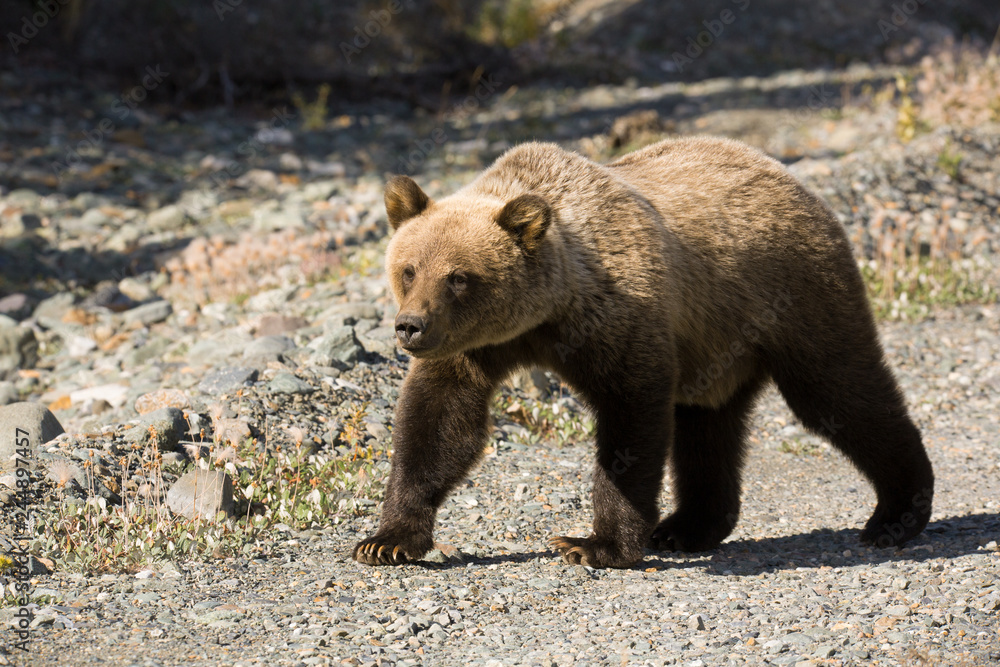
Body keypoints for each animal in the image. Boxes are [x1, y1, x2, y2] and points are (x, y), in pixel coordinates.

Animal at [352, 136, 934, 568]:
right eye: (409, 268)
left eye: (458, 277)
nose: (410, 327)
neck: (542, 314)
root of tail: (795, 181)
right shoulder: (472, 348)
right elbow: (439, 421)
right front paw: (387, 539)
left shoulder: (616, 314)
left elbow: (630, 416)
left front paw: (594, 544)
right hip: (716, 347)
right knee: (708, 426)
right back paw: (688, 526)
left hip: (795, 296)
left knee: (839, 391)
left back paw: (896, 514)